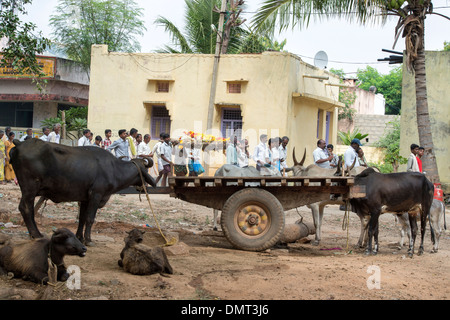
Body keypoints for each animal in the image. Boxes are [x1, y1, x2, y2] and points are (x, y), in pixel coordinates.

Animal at [9, 139, 156, 246]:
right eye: (144, 171)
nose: (146, 186)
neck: (114, 169)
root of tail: (20, 143)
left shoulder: (85, 199)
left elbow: (82, 218)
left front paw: (79, 237)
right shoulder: (96, 195)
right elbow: (90, 219)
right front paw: (89, 239)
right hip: (30, 189)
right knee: (25, 208)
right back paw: (36, 234)